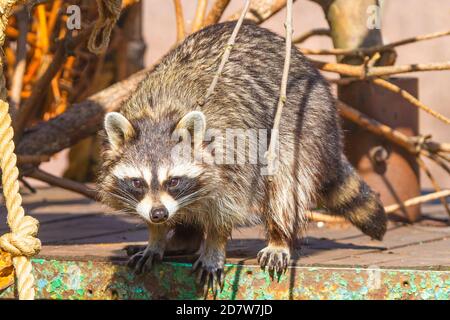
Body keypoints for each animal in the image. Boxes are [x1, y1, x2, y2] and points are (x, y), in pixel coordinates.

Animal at [97, 21, 386, 292]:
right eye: (138, 182)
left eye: (173, 181)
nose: (159, 214)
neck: (157, 115)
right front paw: (156, 238)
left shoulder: (234, 150)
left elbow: (227, 206)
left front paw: (214, 246)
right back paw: (183, 239)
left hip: (305, 118)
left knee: (284, 180)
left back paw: (278, 237)